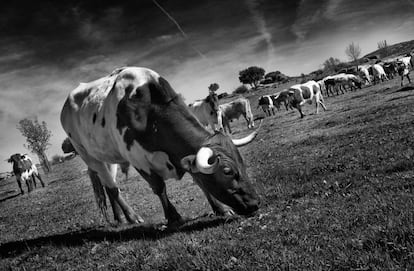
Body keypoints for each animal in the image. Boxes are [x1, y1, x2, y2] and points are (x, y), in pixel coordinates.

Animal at [59, 67, 260, 227]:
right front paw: (174, 217)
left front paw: (221, 209)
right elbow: (159, 187)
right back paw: (133, 217)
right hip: (88, 155)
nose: (256, 203)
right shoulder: (138, 159)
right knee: (113, 188)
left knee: (109, 187)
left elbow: (199, 179)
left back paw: (121, 218)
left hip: (107, 157)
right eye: (227, 171)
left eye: (242, 163)